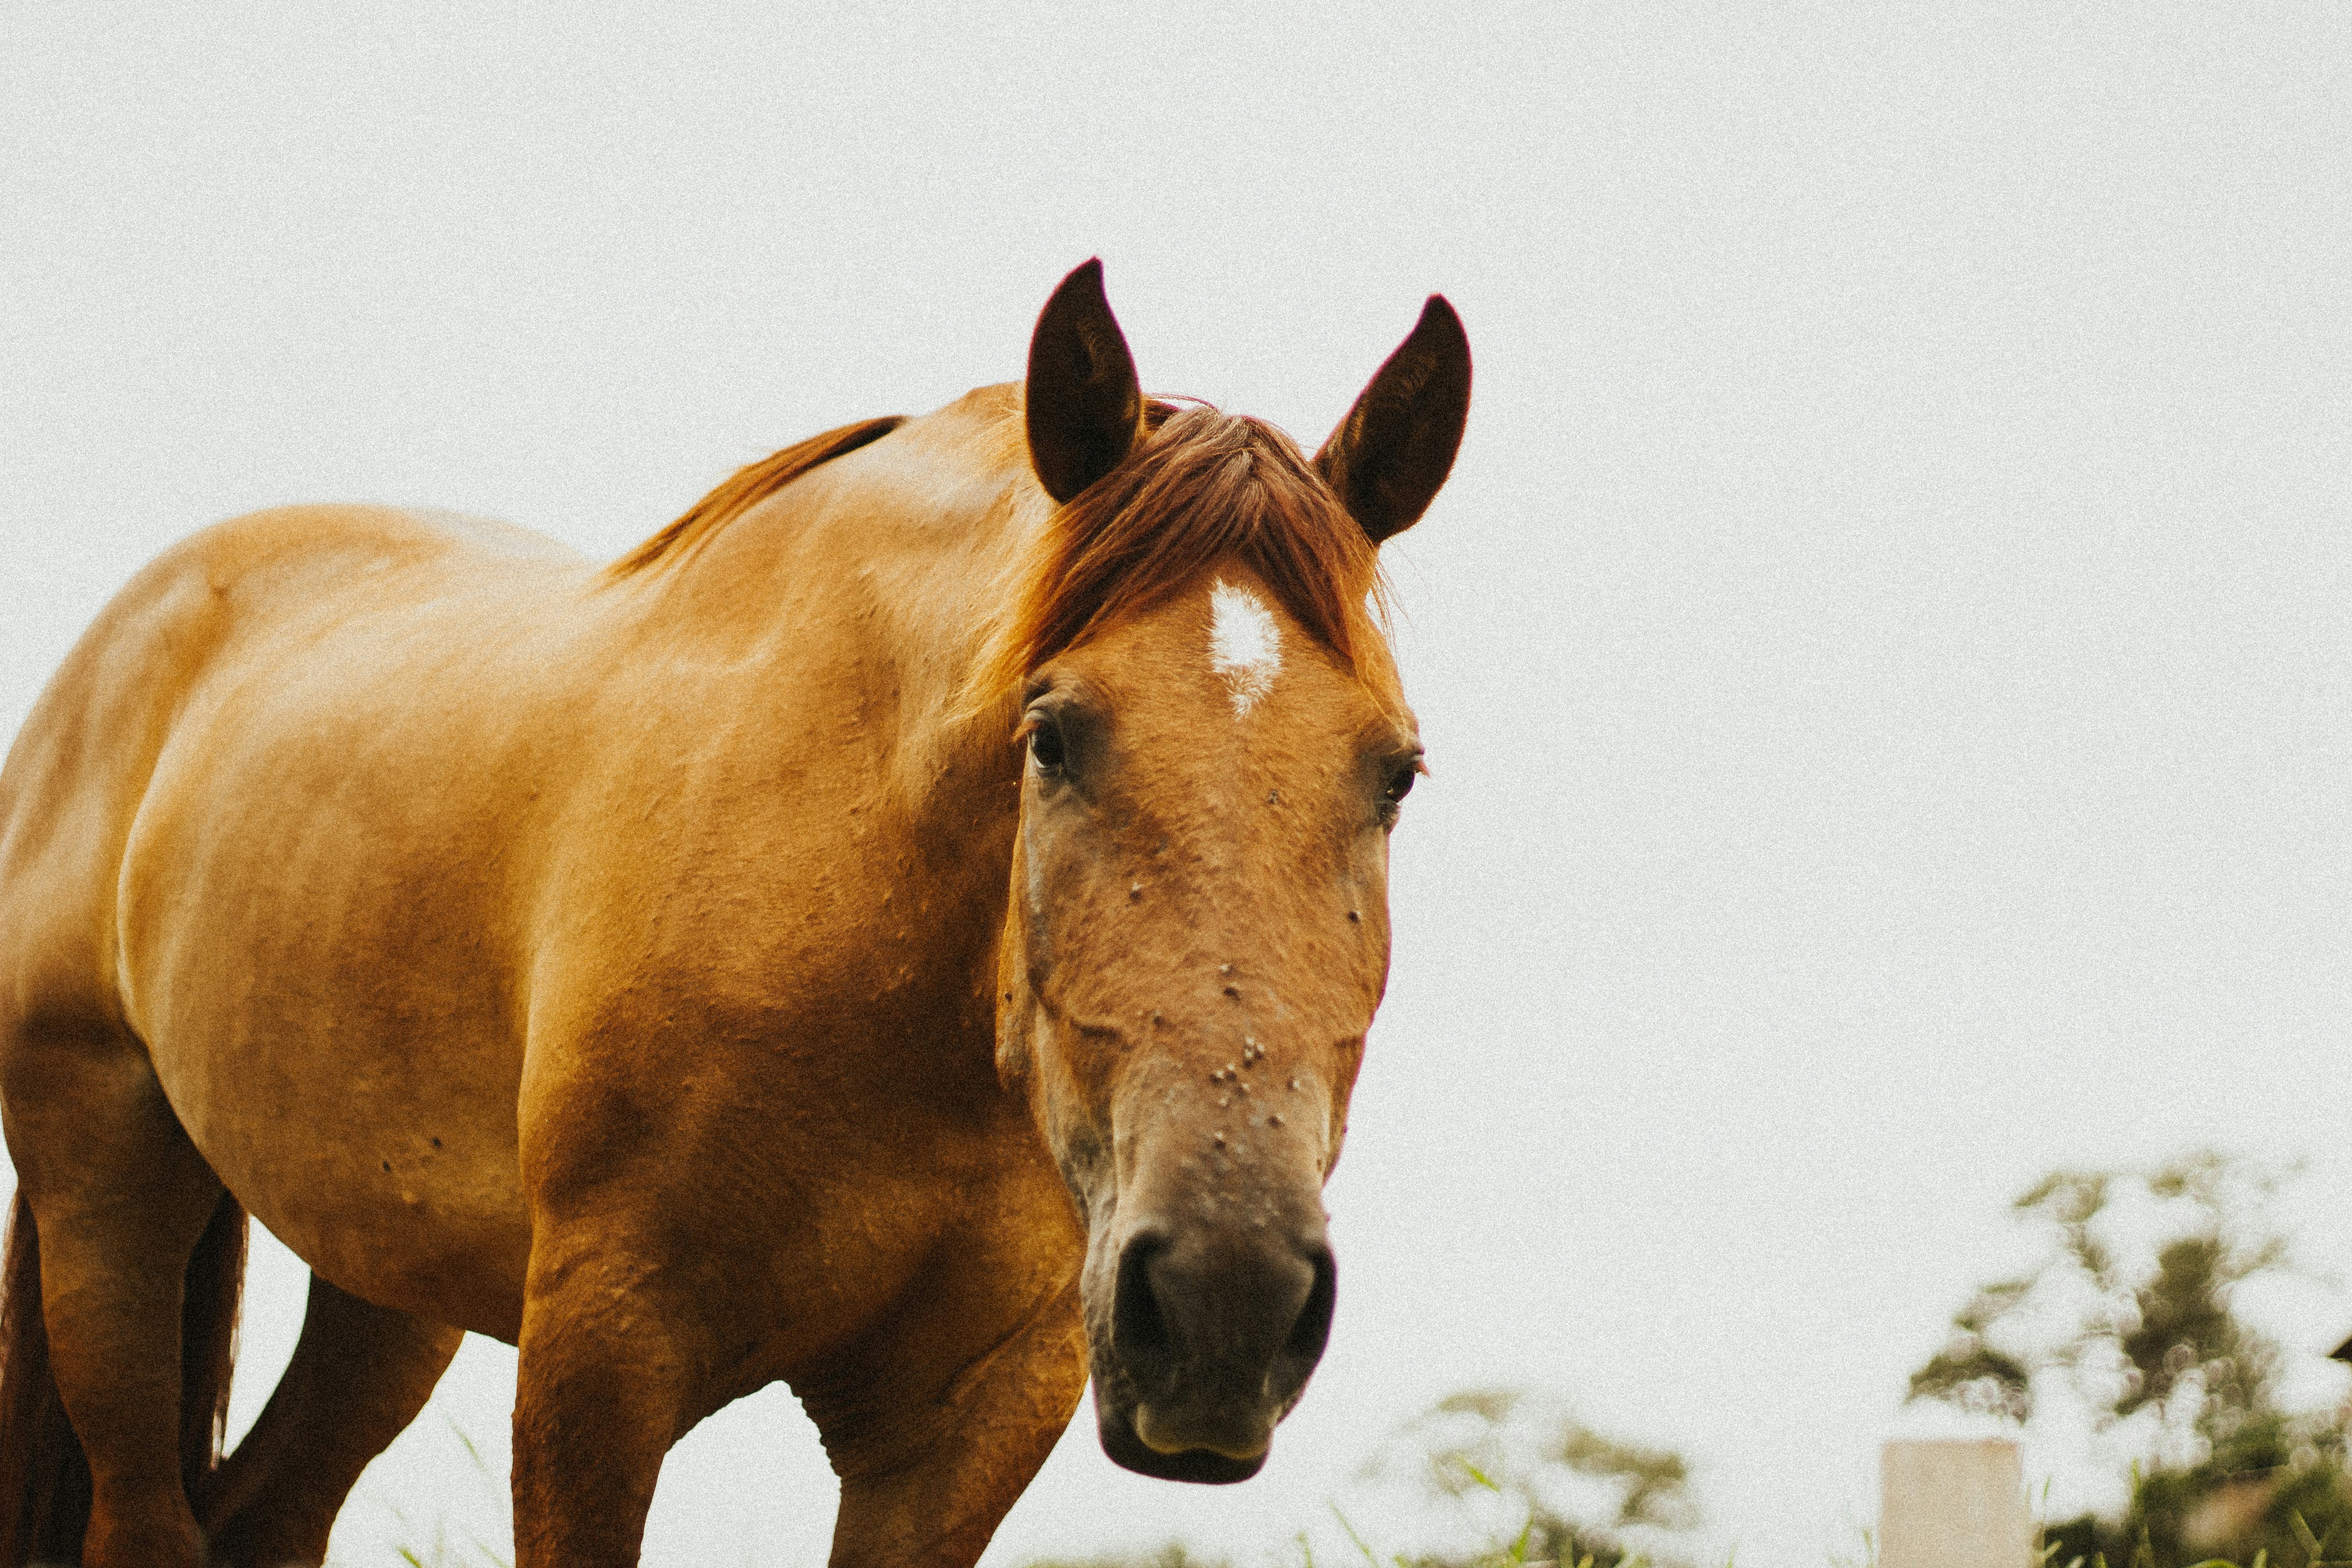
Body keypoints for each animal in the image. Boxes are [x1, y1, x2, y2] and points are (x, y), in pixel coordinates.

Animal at [0, 260, 1470, 1568]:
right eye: (1050, 735)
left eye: (1396, 771)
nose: (1228, 1297)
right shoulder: (601, 1356)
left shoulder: (974, 1416)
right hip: (106, 1192)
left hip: (381, 1278)